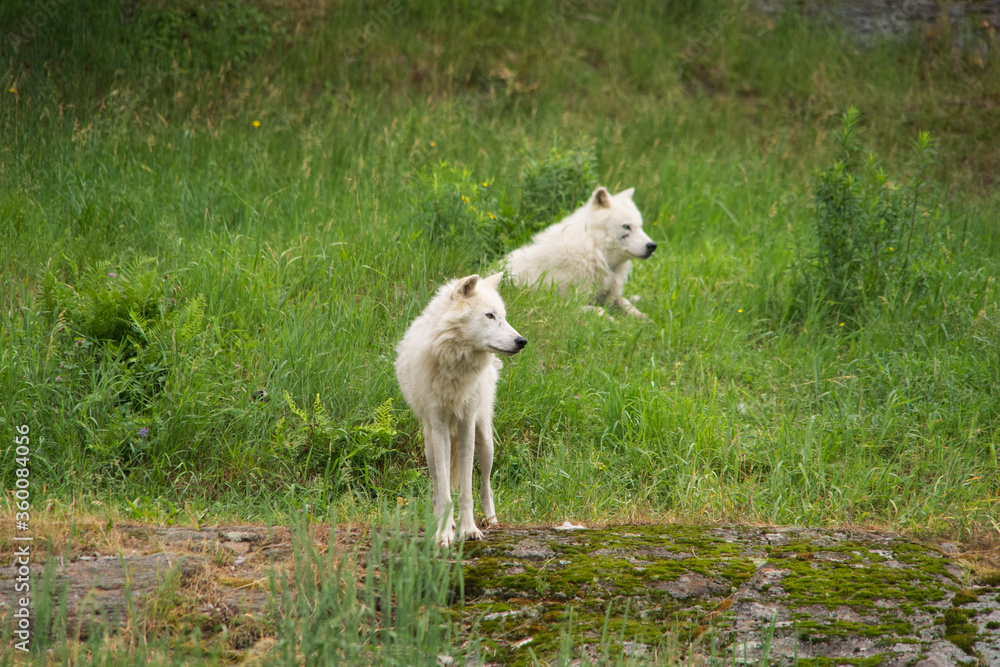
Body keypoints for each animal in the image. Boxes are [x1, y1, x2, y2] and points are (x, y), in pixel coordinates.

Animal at [395, 273, 527, 547]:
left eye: (504, 316)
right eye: (489, 316)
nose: (522, 341)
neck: (456, 365)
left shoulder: (467, 426)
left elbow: (467, 491)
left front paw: (469, 530)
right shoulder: (440, 427)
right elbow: (445, 492)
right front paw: (444, 534)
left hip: (485, 440)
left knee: (486, 486)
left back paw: (491, 520)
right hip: (430, 445)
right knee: (437, 487)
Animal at [503, 186, 657, 318]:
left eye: (640, 226)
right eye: (626, 226)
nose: (652, 246)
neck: (594, 250)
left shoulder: (608, 296)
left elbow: (624, 302)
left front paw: (642, 317)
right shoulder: (566, 303)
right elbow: (600, 311)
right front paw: (612, 321)